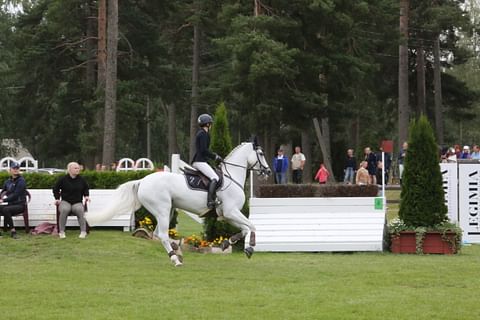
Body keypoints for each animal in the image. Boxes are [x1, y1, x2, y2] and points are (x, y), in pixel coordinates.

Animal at [85, 140, 270, 264]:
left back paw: (177, 251)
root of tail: (143, 181)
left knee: (158, 234)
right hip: (163, 209)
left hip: (168, 210)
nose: (267, 172)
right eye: (261, 154)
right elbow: (252, 226)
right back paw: (175, 258)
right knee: (162, 235)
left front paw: (227, 243)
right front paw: (250, 248)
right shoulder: (231, 212)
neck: (232, 177)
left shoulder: (227, 215)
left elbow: (245, 229)